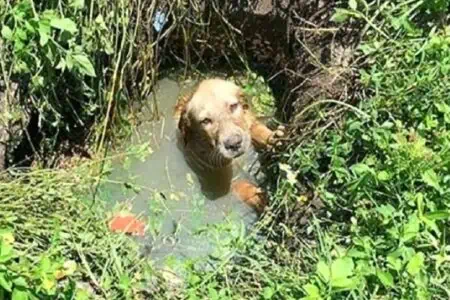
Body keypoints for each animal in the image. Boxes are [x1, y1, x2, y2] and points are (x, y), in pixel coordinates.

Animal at [174, 77, 284, 213]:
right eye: (205, 121)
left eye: (233, 106)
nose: (234, 144)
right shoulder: (218, 178)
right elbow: (237, 185)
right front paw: (258, 197)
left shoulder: (249, 121)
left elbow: (256, 129)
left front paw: (273, 138)